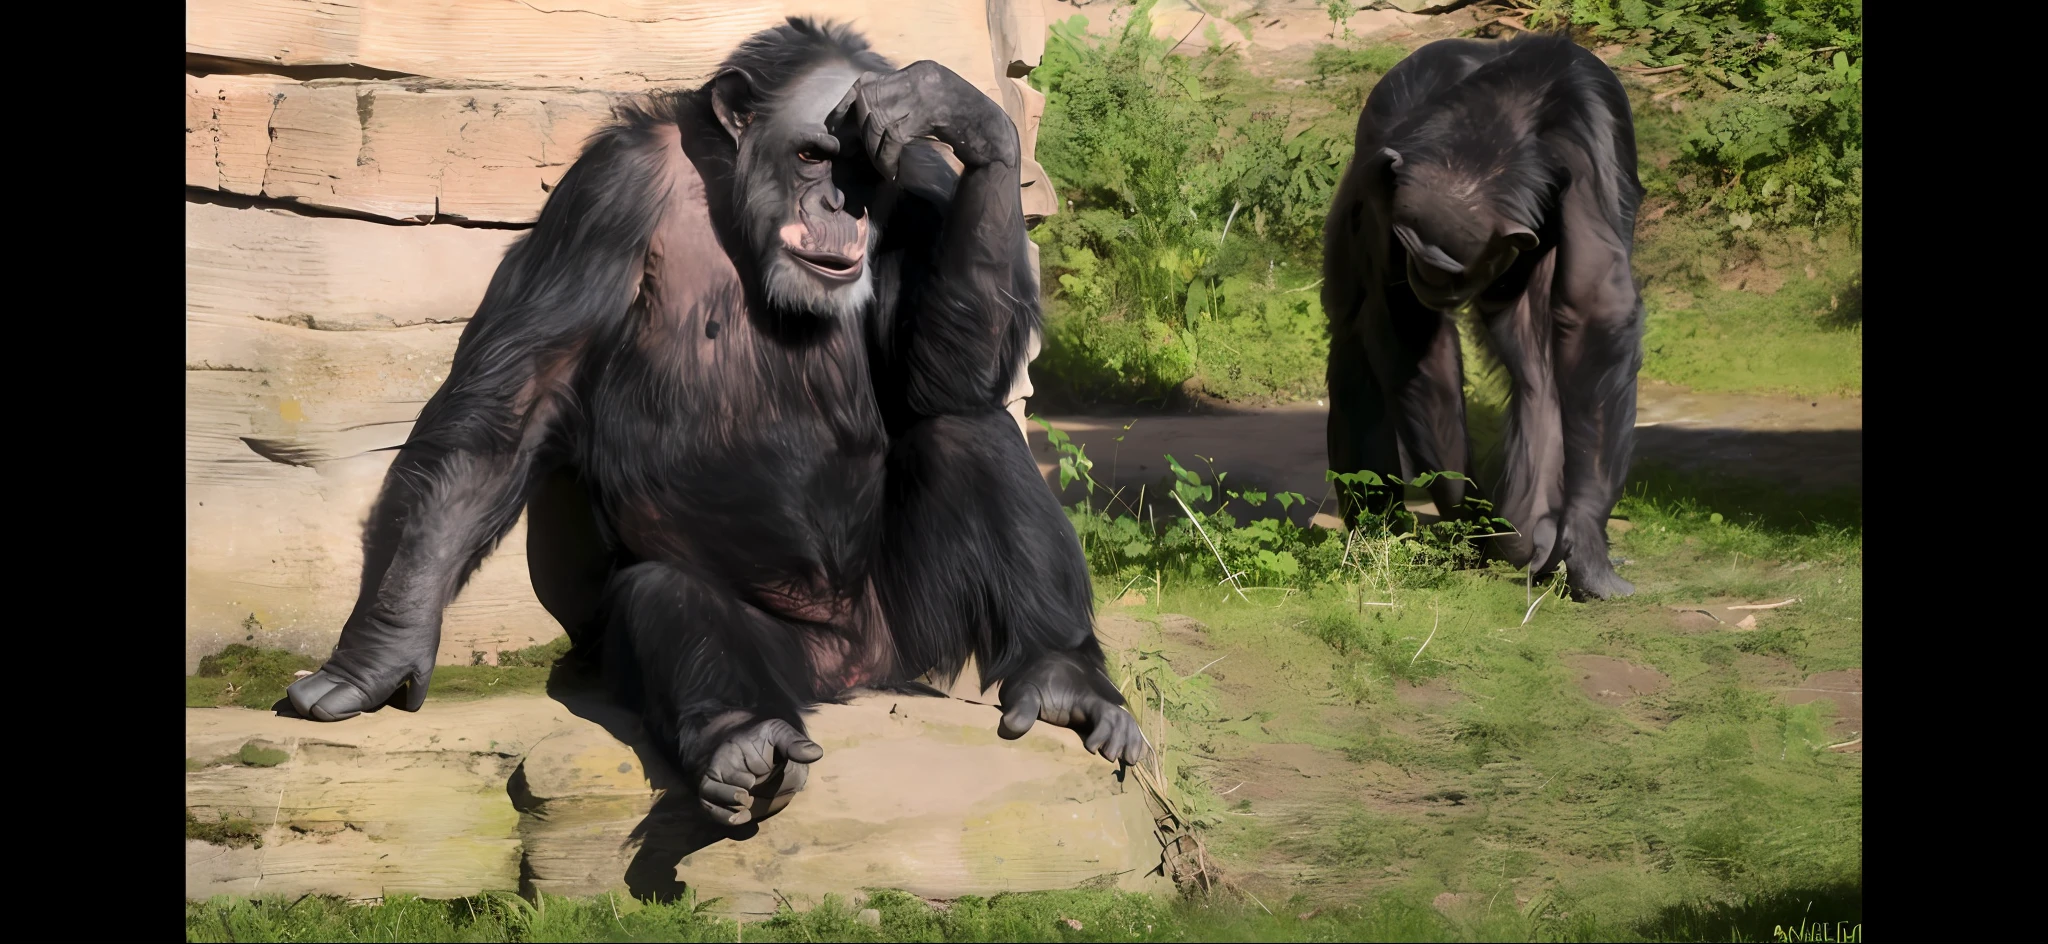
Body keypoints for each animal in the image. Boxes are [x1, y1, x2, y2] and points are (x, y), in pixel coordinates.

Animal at [284, 20, 1155, 823]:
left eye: (866, 175)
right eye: (813, 157)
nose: (839, 207)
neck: (735, 209)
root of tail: (859, 674)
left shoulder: (925, 185)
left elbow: (937, 381)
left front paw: (963, 111)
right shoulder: (606, 193)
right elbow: (507, 416)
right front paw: (381, 652)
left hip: (914, 630)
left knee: (967, 428)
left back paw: (1063, 676)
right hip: (792, 658)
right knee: (664, 592)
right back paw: (745, 739)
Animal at [1327, 35, 1646, 597]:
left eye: (1446, 266)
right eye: (1413, 251)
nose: (1427, 278)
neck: (1501, 114)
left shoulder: (1593, 135)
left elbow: (1595, 307)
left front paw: (1584, 535)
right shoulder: (1383, 185)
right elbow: (1406, 332)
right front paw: (1465, 514)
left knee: (1538, 368)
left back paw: (1536, 529)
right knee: (1354, 346)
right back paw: (1380, 534)